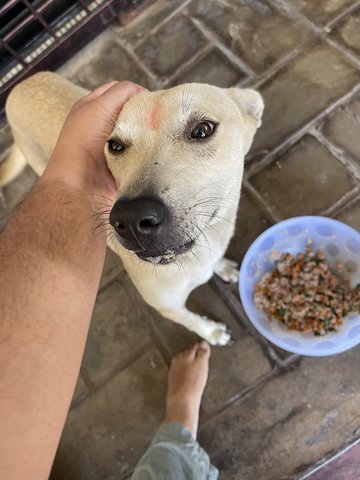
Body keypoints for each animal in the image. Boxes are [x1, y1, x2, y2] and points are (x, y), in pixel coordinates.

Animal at [1, 73, 262, 344]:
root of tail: (21, 84)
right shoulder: (167, 306)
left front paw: (223, 267)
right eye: (115, 146)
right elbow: (190, 320)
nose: (131, 219)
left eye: (202, 130)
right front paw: (211, 332)